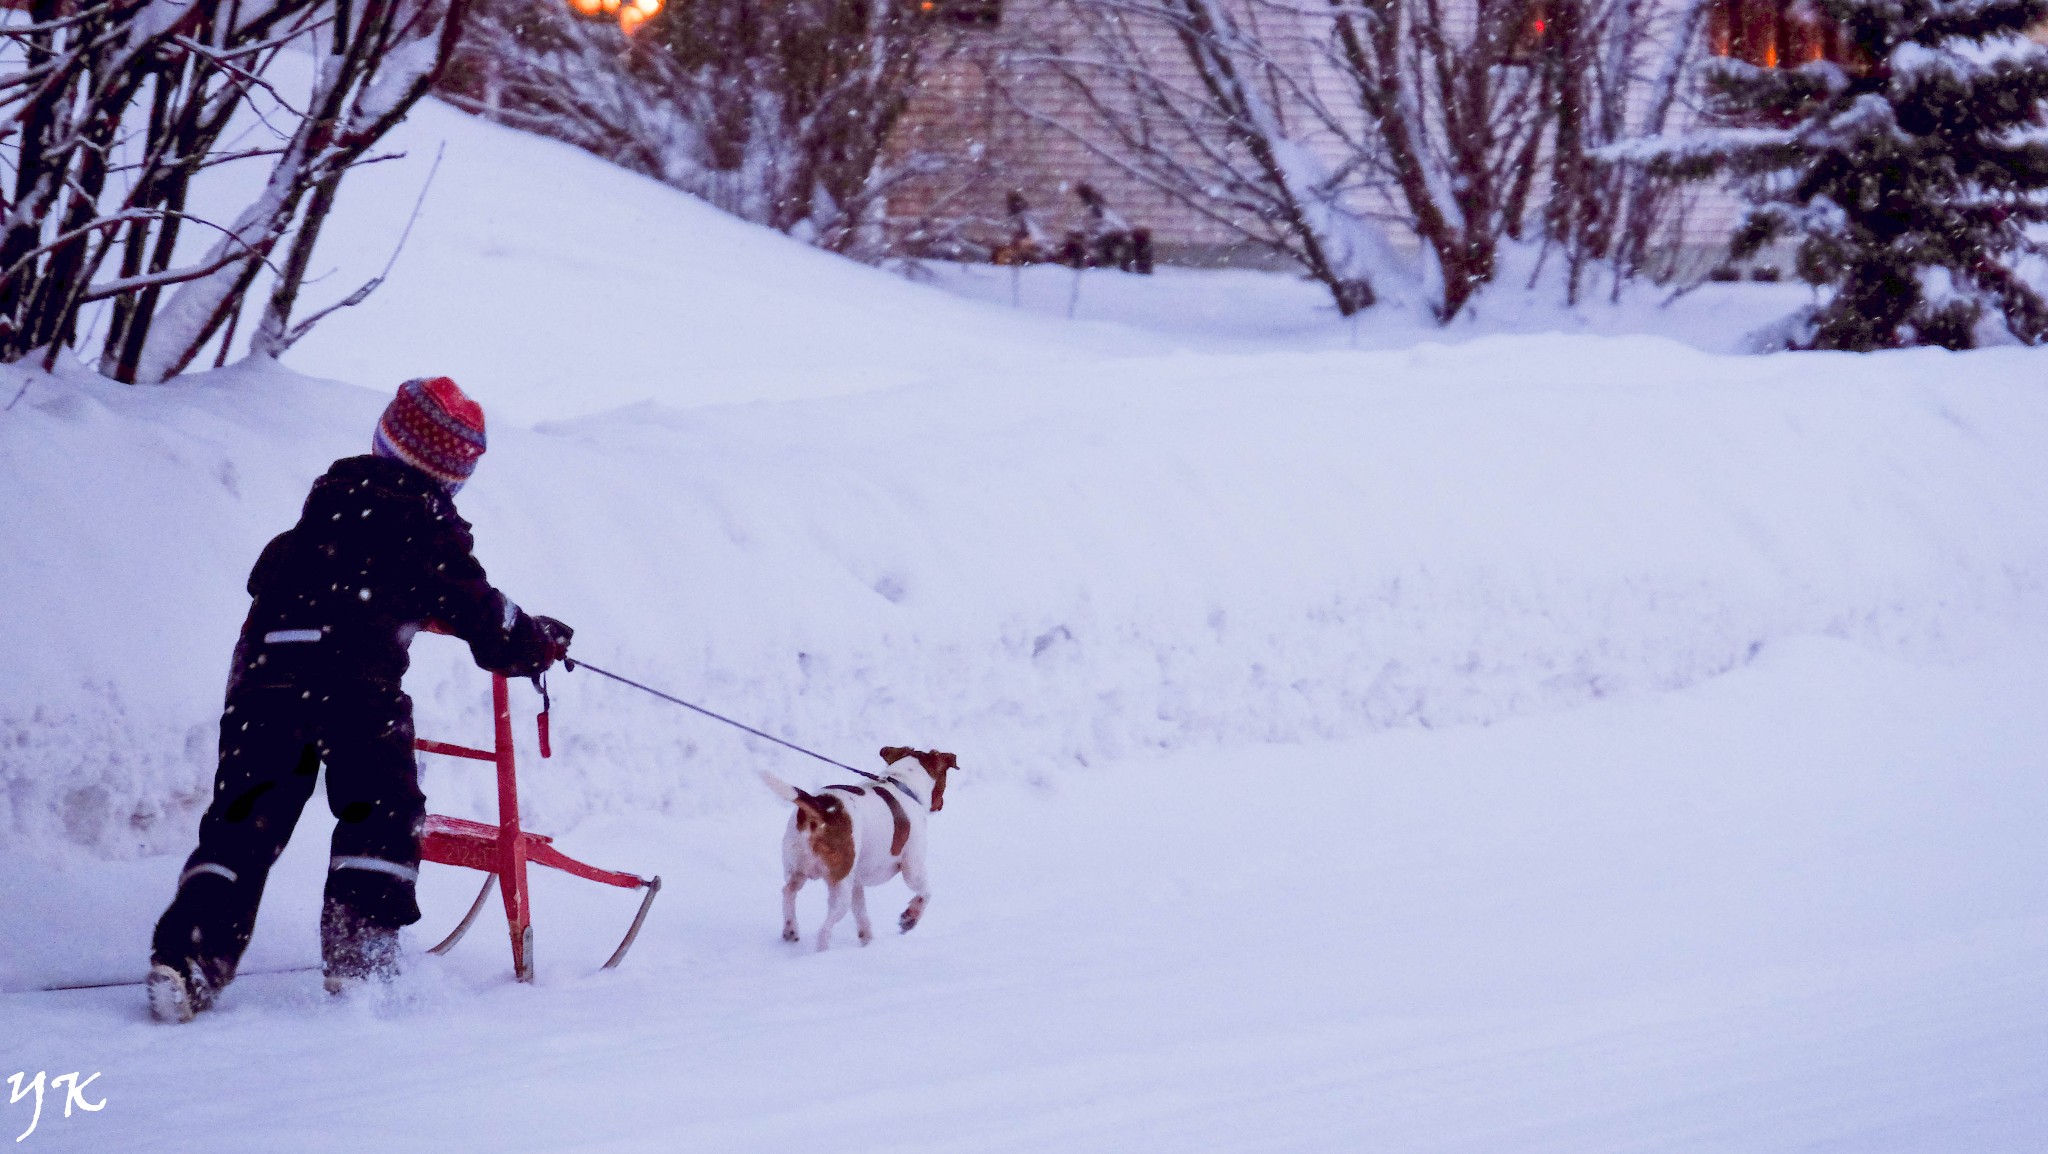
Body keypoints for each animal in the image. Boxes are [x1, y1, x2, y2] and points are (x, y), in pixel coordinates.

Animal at [761, 746, 958, 951]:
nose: (941, 805)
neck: (902, 784)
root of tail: (822, 811)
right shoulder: (913, 868)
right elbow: (925, 894)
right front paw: (909, 918)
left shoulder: (857, 883)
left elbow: (861, 913)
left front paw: (867, 940)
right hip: (840, 888)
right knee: (825, 928)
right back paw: (821, 949)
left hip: (798, 867)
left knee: (788, 891)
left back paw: (790, 930)